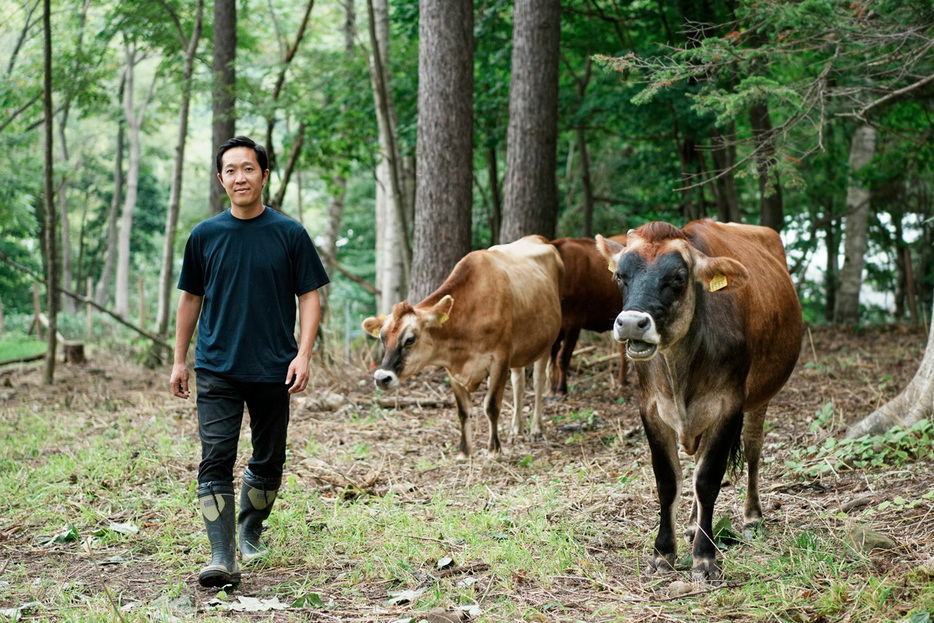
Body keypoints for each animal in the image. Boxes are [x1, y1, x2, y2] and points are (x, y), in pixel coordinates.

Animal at [360, 235, 564, 458]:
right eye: (382, 338)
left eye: (410, 339)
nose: (382, 378)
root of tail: (538, 238)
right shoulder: (453, 368)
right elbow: (463, 411)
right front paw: (465, 452)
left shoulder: (500, 358)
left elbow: (491, 405)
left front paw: (494, 450)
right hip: (520, 349)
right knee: (518, 382)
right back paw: (516, 428)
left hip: (546, 342)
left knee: (537, 382)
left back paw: (536, 428)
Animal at [548, 236, 628, 398]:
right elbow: (553, 357)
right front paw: (552, 389)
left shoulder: (574, 323)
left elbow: (562, 358)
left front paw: (561, 390)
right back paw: (622, 382)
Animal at [600, 221, 804, 584]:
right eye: (620, 276)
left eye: (679, 277)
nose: (632, 323)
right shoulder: (650, 409)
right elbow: (669, 481)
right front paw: (663, 553)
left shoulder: (728, 407)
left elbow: (708, 480)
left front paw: (705, 558)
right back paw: (694, 526)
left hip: (760, 397)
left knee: (752, 450)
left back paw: (751, 518)